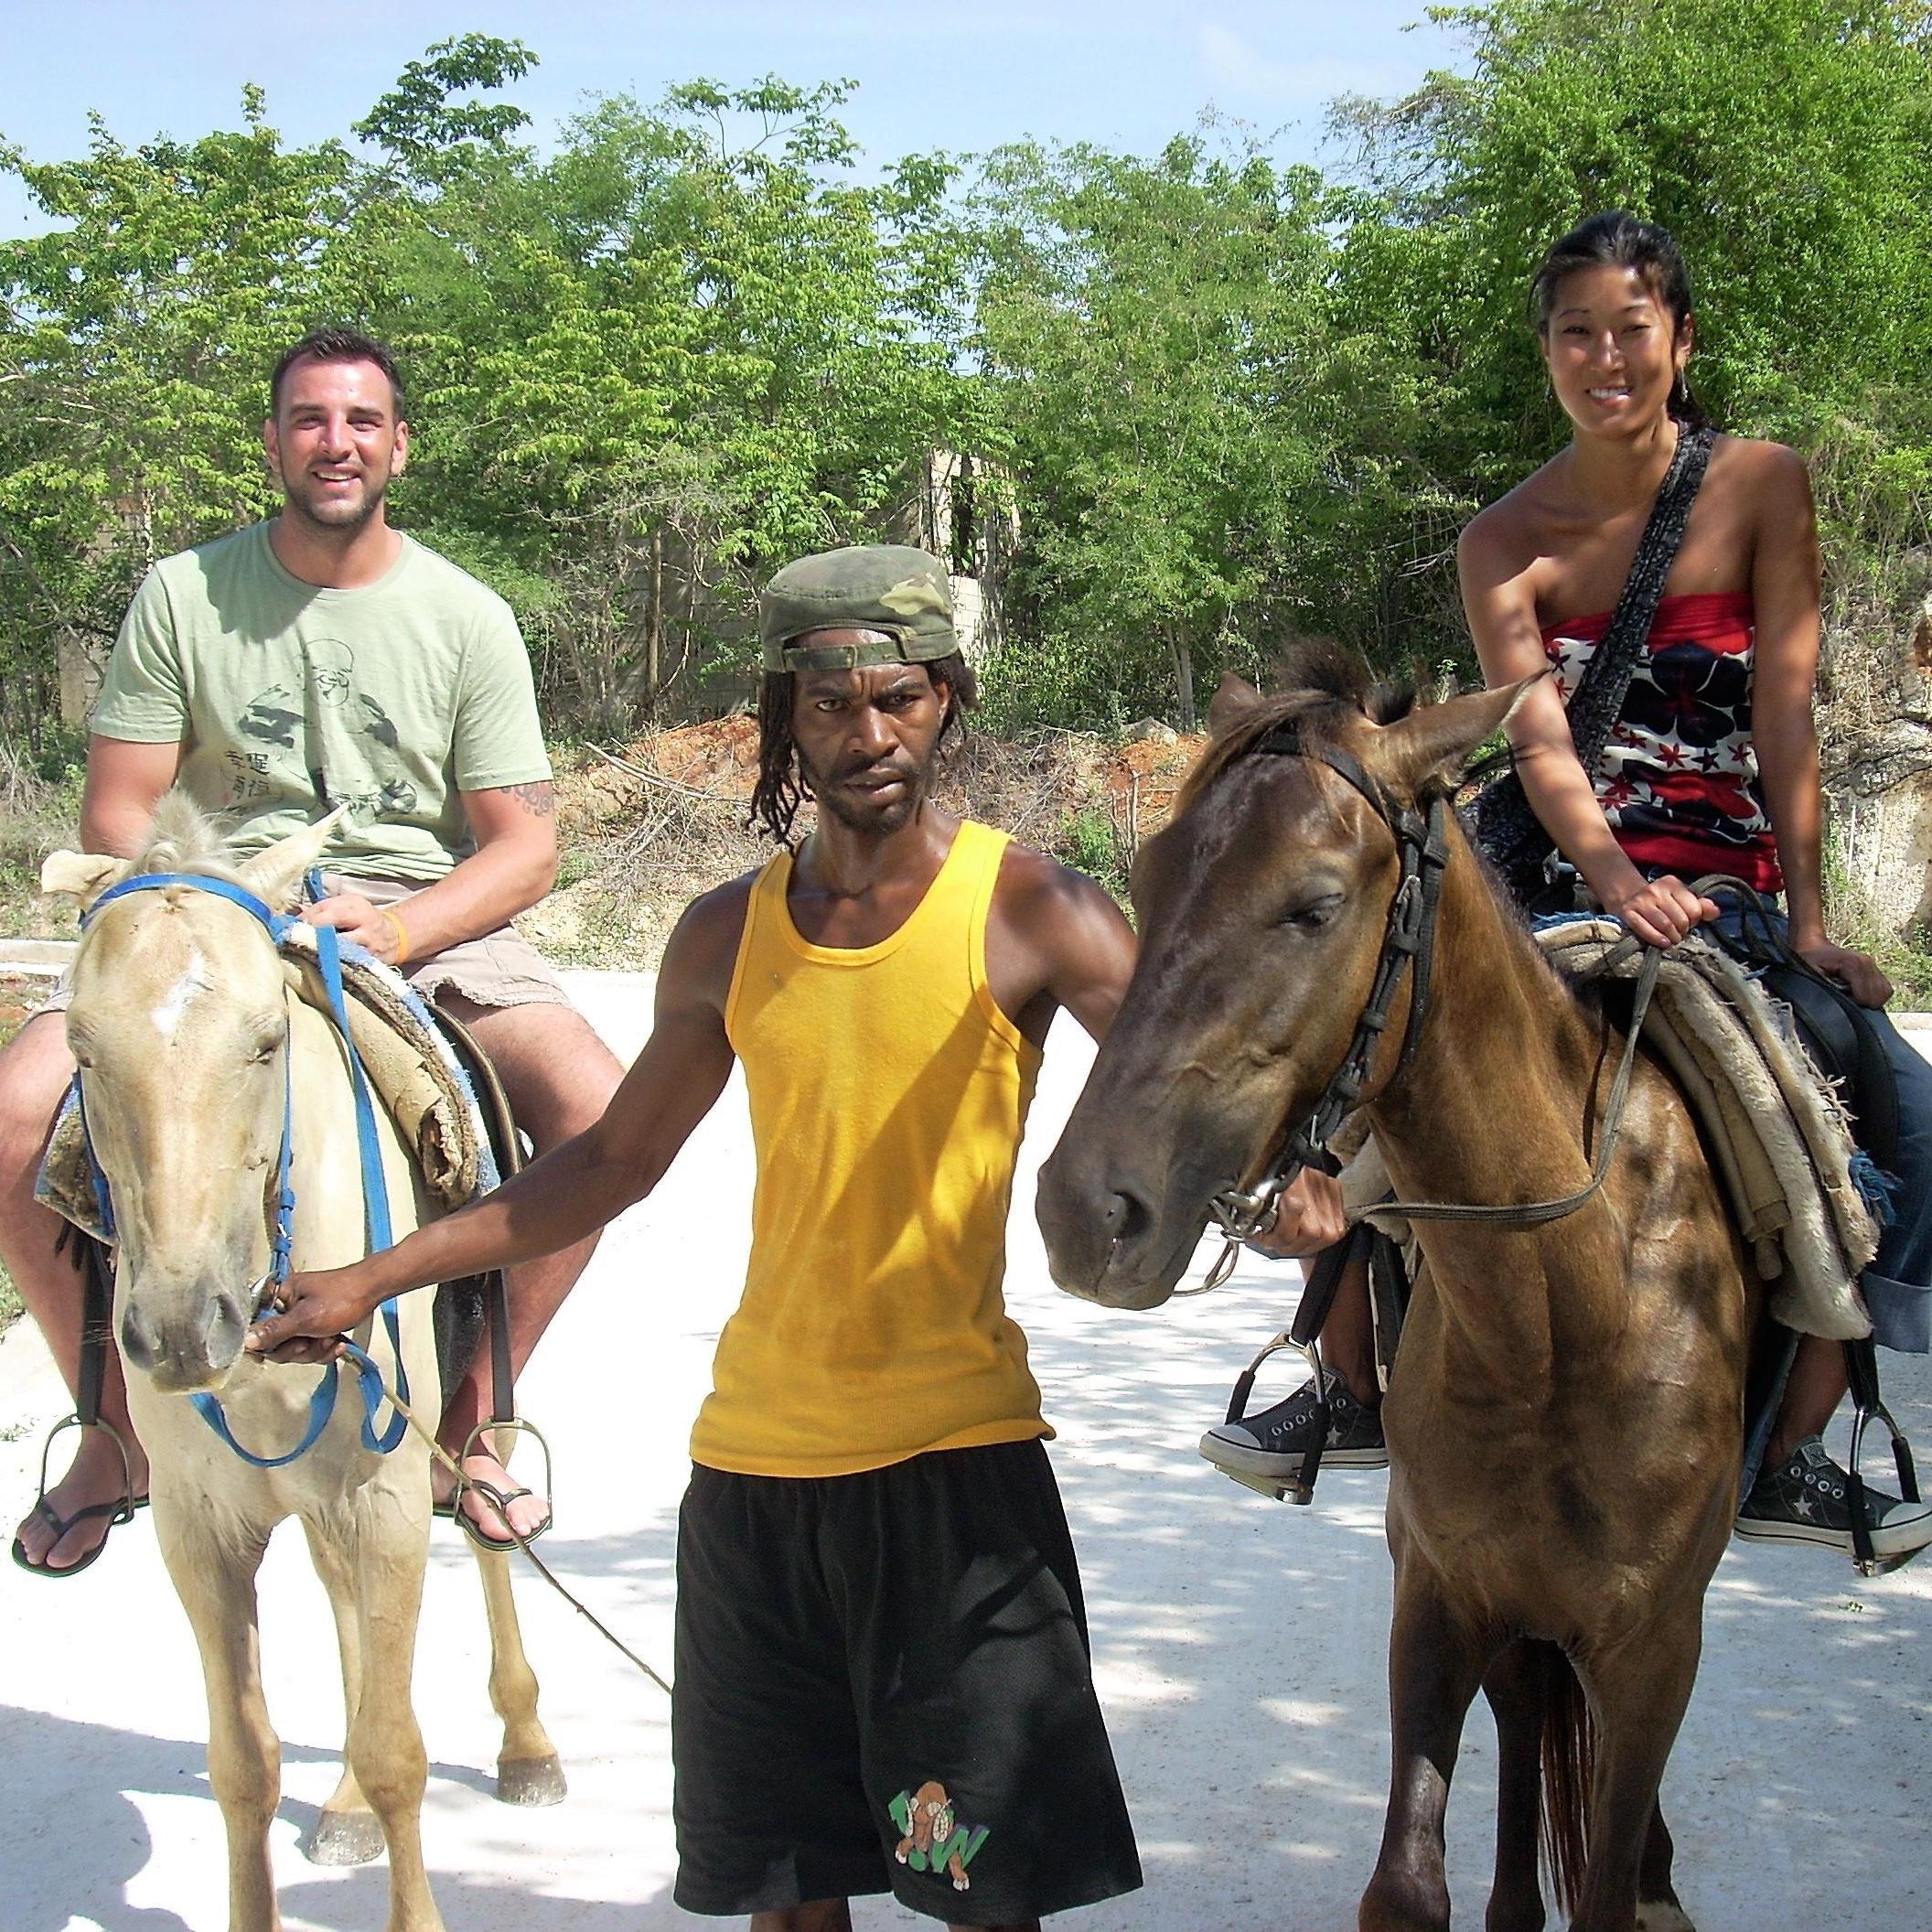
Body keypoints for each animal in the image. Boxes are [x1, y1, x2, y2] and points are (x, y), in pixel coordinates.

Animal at [43, 791, 560, 1924]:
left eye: (268, 1040)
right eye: (83, 1049)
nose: (182, 1328)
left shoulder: (387, 1497)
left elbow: (398, 1751)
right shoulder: (199, 1528)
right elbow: (243, 1763)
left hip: (442, 1438)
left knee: (483, 1525)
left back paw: (526, 1744)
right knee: (340, 1610)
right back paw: (346, 1807)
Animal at [1036, 657, 1762, 1924]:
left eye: (1316, 905)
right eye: (1152, 879)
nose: (1087, 1213)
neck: (1564, 1316)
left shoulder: (1654, 1646)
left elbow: (1610, 1878)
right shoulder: (1437, 1597)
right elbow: (1407, 1884)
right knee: (1524, 1729)